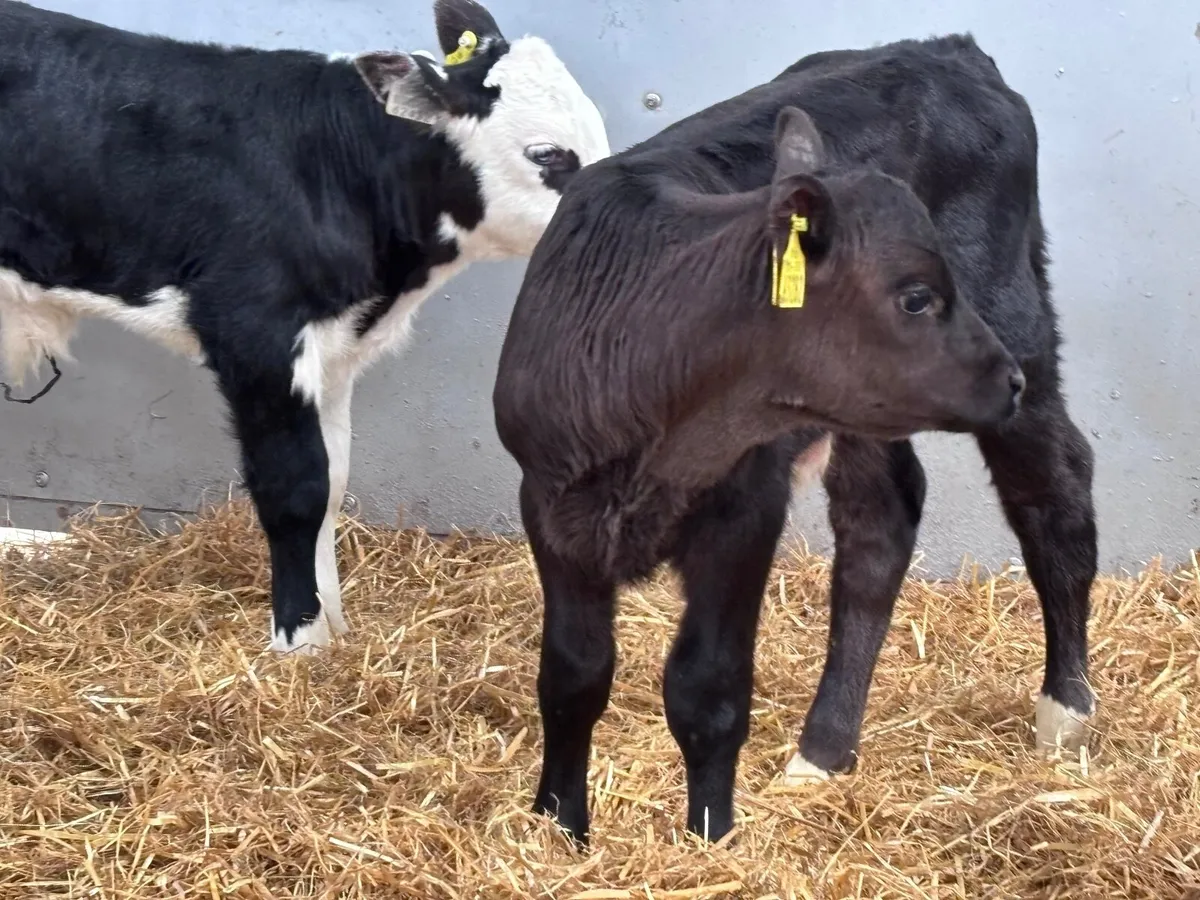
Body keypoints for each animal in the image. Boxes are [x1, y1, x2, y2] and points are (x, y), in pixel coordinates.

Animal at [0, 0, 609, 654]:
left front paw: (335, 630)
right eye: (547, 154)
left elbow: (332, 481)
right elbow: (295, 489)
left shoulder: (333, 351)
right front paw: (299, 642)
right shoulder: (255, 334)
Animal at [493, 33, 1097, 845]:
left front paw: (709, 837)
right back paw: (825, 748)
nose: (1006, 378)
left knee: (1055, 489)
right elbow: (572, 674)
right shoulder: (551, 501)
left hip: (1018, 314)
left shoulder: (745, 506)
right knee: (882, 519)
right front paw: (560, 824)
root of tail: (947, 48)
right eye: (916, 297)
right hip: (871, 409)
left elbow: (706, 690)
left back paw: (1066, 711)